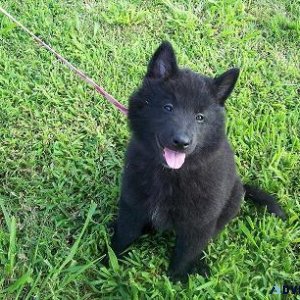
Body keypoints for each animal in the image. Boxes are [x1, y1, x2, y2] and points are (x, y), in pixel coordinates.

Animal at [110, 41, 286, 282]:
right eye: (168, 107)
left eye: (200, 117)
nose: (181, 142)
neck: (171, 174)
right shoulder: (132, 205)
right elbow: (124, 236)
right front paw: (108, 263)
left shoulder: (199, 223)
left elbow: (186, 253)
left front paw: (175, 280)